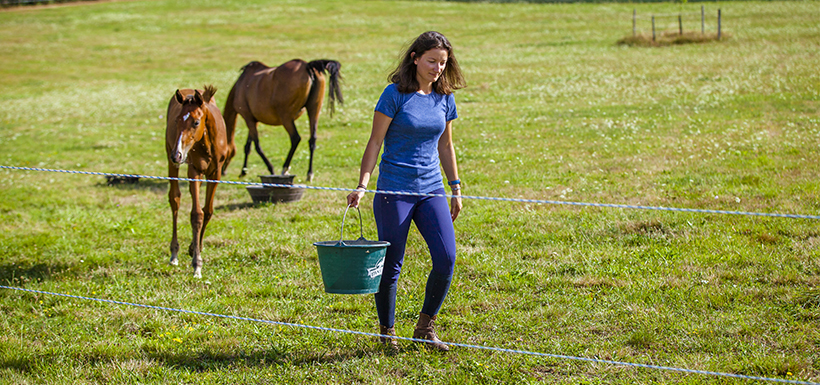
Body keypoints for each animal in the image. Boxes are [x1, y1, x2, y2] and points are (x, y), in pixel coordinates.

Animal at [163, 85, 234, 276]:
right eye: (177, 121)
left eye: (196, 122)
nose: (177, 154)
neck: (208, 143)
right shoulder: (194, 170)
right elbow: (196, 214)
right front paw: (197, 264)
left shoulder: (216, 173)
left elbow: (207, 211)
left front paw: (196, 248)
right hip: (173, 162)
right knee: (175, 199)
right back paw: (174, 253)